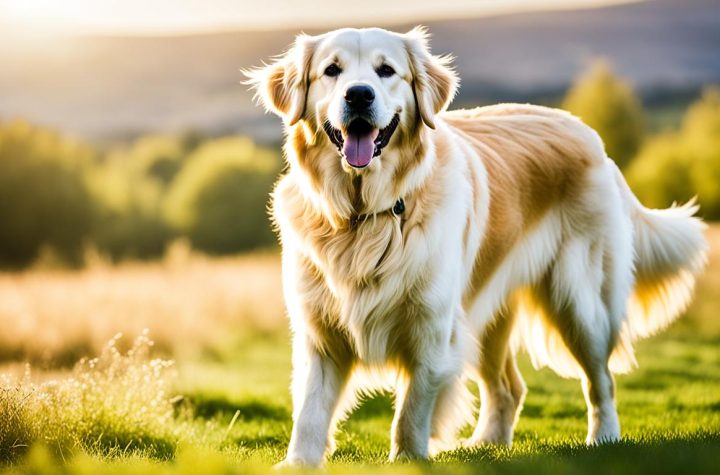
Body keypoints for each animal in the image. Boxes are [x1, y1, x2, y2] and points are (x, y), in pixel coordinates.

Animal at [245, 27, 704, 466]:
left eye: (386, 71)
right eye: (332, 71)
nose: (359, 94)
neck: (366, 215)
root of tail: (591, 137)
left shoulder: (433, 328)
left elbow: (411, 410)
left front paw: (407, 459)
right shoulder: (319, 331)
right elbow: (310, 409)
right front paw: (298, 463)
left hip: (579, 300)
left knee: (601, 380)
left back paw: (603, 439)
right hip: (485, 315)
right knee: (509, 387)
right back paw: (486, 445)